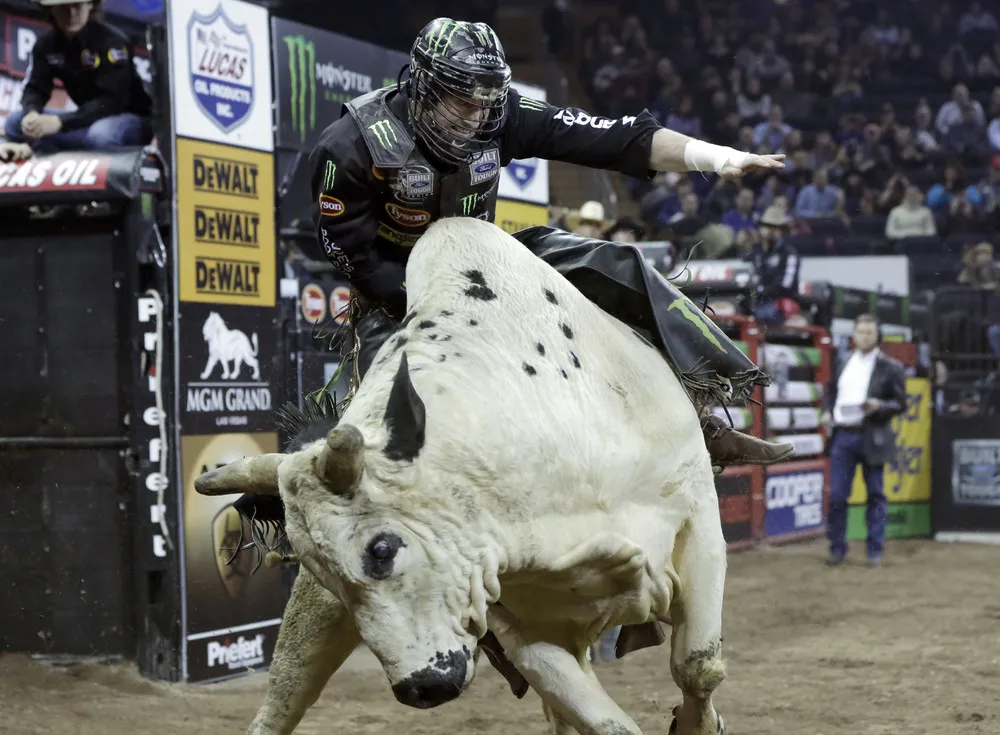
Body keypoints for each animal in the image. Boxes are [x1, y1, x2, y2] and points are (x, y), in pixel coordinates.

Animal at [195, 217, 729, 735]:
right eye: (327, 572)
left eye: (381, 549)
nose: (421, 688)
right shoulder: (518, 620)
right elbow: (606, 721)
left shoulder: (698, 512)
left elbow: (698, 666)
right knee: (286, 690)